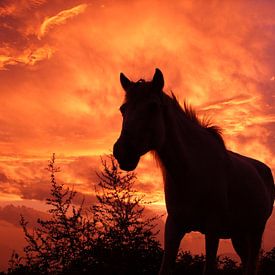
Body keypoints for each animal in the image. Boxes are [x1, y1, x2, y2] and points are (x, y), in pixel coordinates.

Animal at [112, 69, 275, 275]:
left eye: (152, 107)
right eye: (123, 109)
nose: (122, 151)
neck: (190, 172)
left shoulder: (213, 230)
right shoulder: (173, 227)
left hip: (255, 232)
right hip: (239, 234)